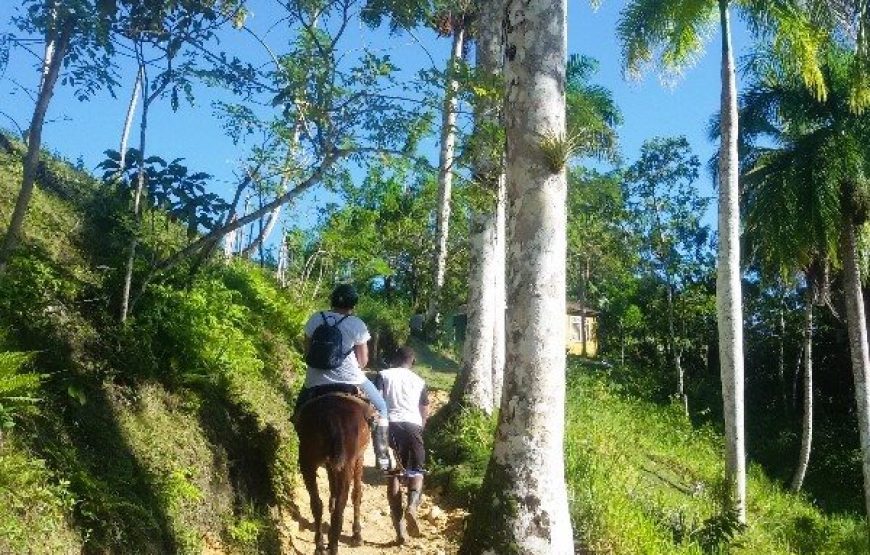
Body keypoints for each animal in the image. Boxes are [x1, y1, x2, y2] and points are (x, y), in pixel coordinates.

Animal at [298, 394, 372, 552]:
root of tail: (332, 415)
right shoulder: (359, 458)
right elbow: (357, 494)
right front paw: (357, 535)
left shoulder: (330, 463)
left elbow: (333, 489)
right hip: (346, 465)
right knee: (340, 507)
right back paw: (333, 546)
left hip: (307, 461)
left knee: (316, 503)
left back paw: (320, 545)